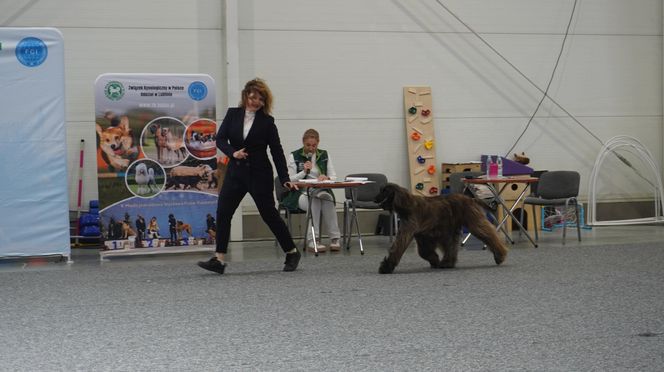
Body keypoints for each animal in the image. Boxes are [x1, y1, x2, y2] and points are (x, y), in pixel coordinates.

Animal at [374, 183, 508, 274]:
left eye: (384, 191)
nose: (374, 199)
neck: (407, 205)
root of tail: (471, 199)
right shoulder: (423, 236)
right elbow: (424, 252)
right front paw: (435, 260)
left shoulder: (409, 231)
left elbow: (398, 248)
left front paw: (386, 267)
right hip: (452, 229)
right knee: (452, 247)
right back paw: (447, 263)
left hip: (474, 222)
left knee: (489, 235)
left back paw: (500, 256)